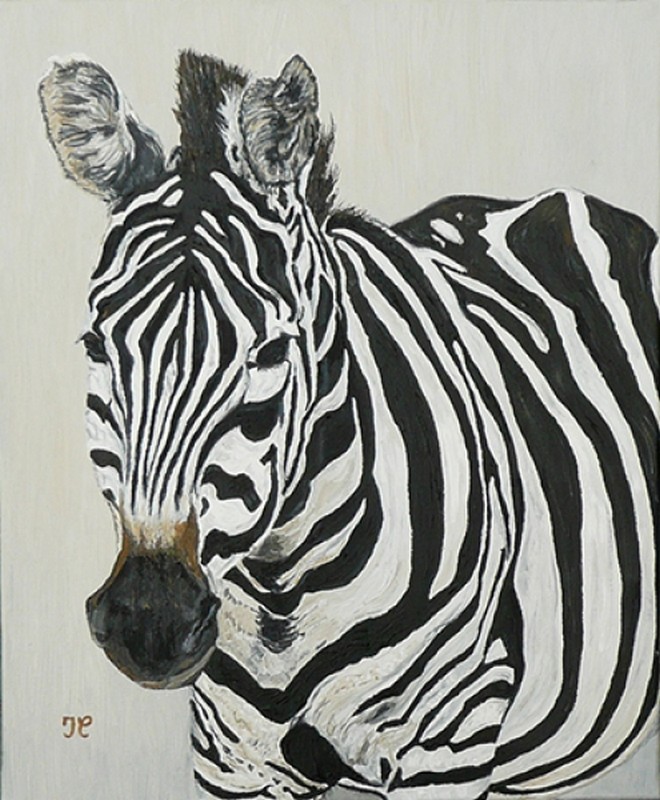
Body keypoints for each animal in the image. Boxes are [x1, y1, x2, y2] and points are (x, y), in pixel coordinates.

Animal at [39, 51, 657, 800]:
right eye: (96, 346)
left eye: (271, 353)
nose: (148, 622)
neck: (282, 591)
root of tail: (558, 200)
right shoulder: (230, 760)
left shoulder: (450, 741)